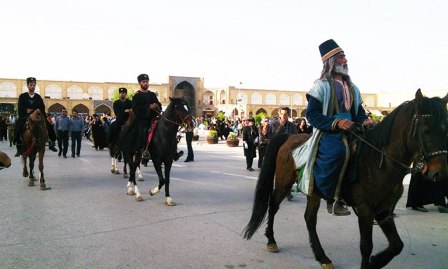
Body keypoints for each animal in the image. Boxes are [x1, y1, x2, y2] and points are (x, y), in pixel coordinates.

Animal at [243, 89, 448, 266]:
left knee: (309, 219)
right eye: (426, 130)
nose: (439, 173)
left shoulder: (384, 210)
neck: (379, 161)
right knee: (273, 205)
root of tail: (288, 137)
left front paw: (376, 261)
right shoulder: (365, 209)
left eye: (445, 129)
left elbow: (397, 245)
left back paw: (322, 257)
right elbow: (366, 246)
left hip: (313, 190)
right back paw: (271, 241)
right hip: (284, 182)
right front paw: (370, 261)